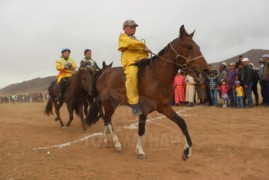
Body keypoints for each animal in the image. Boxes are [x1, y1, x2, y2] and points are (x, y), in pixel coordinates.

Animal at [87, 25, 208, 160]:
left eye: (198, 47)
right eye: (189, 47)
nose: (206, 70)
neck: (156, 76)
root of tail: (102, 74)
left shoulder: (164, 107)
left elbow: (182, 122)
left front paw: (187, 151)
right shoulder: (143, 109)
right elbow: (141, 130)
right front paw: (140, 151)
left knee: (106, 119)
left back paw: (105, 139)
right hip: (108, 103)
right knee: (107, 119)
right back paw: (116, 143)